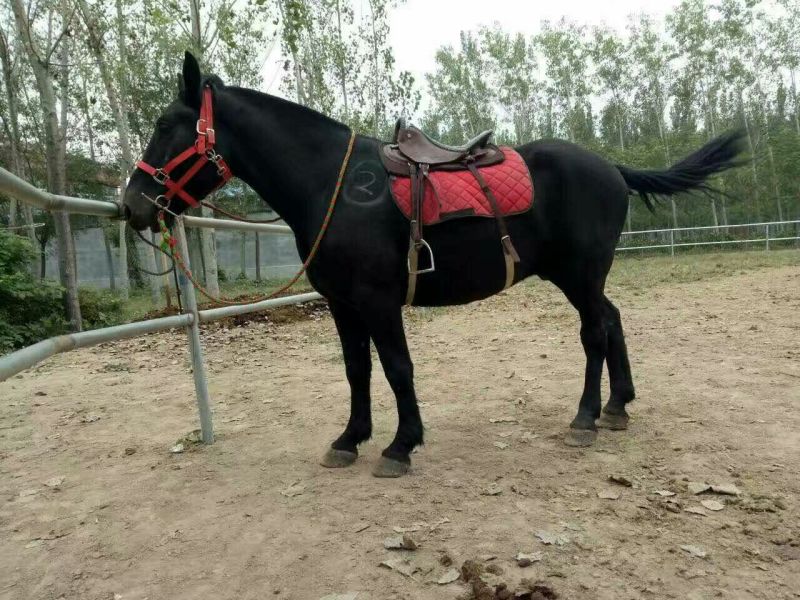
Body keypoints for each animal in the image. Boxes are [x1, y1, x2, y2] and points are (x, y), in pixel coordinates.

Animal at [124, 52, 746, 477]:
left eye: (165, 126)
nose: (131, 204)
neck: (334, 186)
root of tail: (611, 168)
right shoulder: (342, 305)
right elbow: (357, 371)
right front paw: (350, 439)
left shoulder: (378, 301)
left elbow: (398, 369)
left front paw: (401, 446)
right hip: (581, 277)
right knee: (612, 322)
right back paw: (618, 406)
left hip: (579, 274)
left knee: (595, 331)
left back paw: (587, 417)